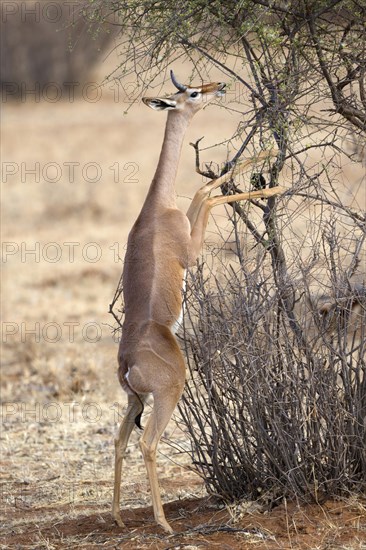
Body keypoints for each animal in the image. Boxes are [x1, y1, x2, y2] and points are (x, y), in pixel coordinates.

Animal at [112, 70, 286, 536]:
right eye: (190, 93)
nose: (217, 87)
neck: (157, 209)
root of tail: (127, 361)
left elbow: (206, 186)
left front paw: (268, 154)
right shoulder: (191, 251)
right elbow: (210, 194)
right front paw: (279, 179)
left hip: (135, 400)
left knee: (119, 440)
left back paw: (117, 515)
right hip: (168, 392)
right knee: (147, 443)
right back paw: (164, 524)